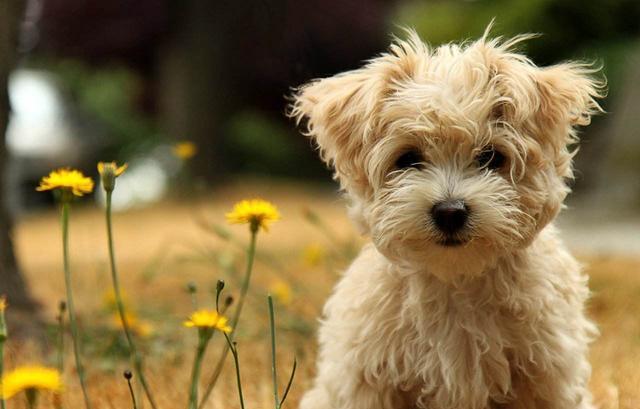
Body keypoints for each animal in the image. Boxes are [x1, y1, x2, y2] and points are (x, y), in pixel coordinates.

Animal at [290, 27, 604, 408]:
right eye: (408, 158)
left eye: (491, 157)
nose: (450, 212)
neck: (456, 279)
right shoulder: (364, 378)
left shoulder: (549, 376)